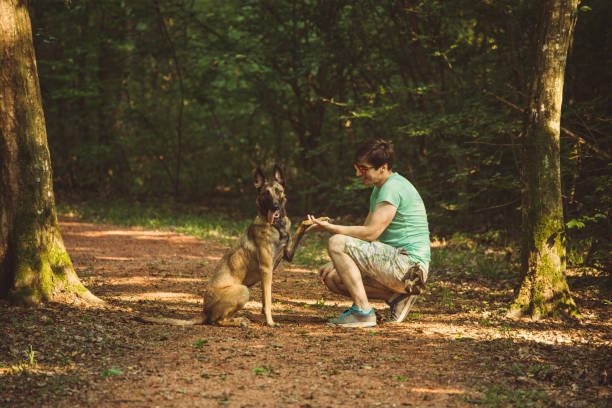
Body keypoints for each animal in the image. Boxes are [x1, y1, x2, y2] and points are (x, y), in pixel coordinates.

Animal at [137, 164, 330, 326]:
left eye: (278, 191)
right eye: (265, 193)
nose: (275, 206)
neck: (276, 225)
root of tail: (203, 311)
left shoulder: (287, 254)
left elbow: (303, 224)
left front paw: (320, 220)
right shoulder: (266, 269)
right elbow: (268, 300)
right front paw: (270, 322)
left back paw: (239, 319)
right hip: (243, 290)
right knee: (216, 321)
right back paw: (237, 322)